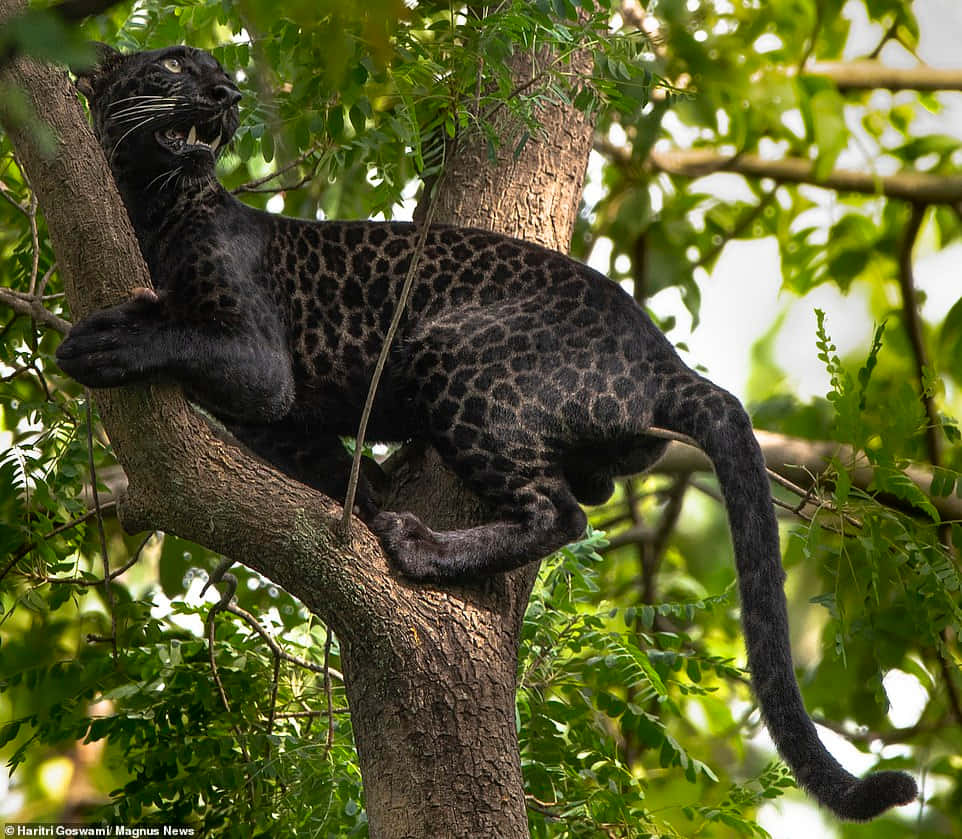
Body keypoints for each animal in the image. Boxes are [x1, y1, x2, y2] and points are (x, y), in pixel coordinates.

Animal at [56, 41, 920, 820]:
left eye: (215, 71)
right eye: (174, 66)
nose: (226, 92)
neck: (153, 203)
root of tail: (665, 360)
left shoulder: (260, 359)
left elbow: (180, 332)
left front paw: (101, 344)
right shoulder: (274, 417)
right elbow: (326, 463)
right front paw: (367, 489)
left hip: (455, 355)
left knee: (559, 514)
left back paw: (422, 547)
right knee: (587, 489)